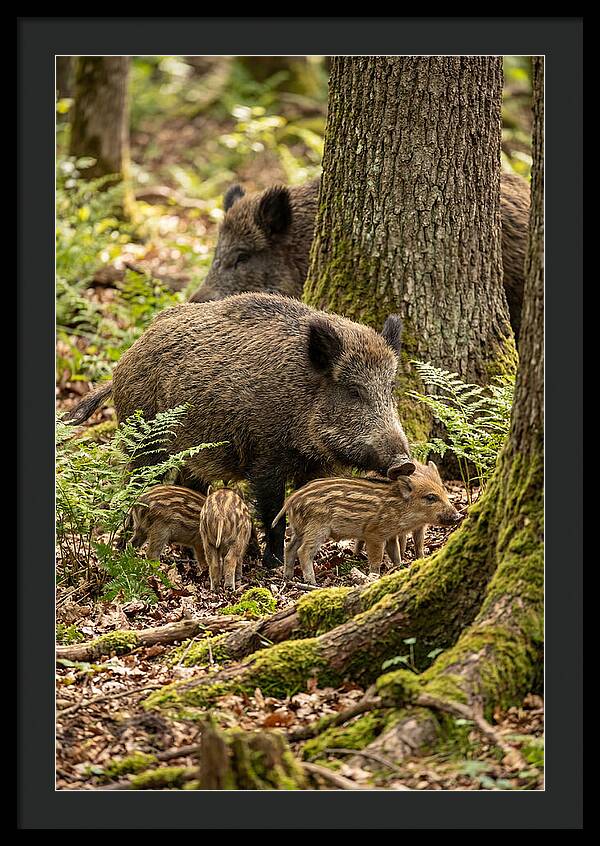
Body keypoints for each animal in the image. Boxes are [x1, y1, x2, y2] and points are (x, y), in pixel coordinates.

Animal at [65, 293, 413, 569]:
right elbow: (273, 512)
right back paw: (123, 549)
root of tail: (123, 360)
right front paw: (272, 564)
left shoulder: (316, 466)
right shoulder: (265, 458)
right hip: (146, 442)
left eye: (390, 389)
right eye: (354, 391)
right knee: (134, 487)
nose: (404, 463)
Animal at [272, 460, 461, 585]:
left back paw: (288, 577)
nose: (458, 516)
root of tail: (291, 499)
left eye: (443, 490)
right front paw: (374, 576)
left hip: (300, 529)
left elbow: (395, 553)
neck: (400, 507)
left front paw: (399, 568)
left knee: (289, 548)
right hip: (316, 528)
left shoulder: (390, 535)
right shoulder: (374, 534)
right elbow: (376, 558)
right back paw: (312, 582)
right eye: (430, 497)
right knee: (303, 551)